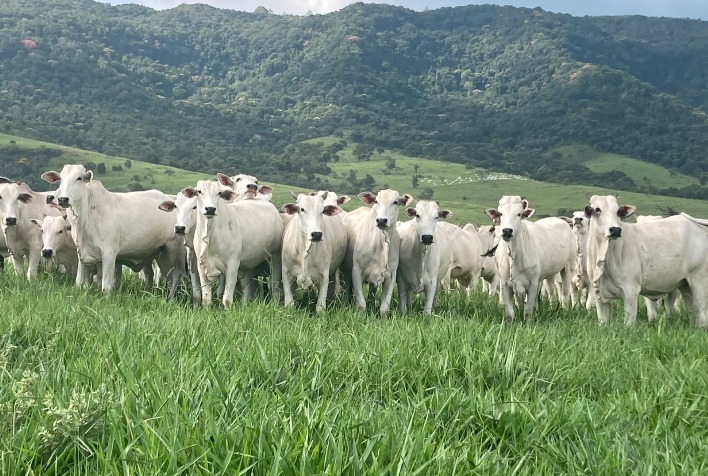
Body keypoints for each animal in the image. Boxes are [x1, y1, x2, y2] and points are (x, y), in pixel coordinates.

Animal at [40, 166, 185, 294]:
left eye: (79, 178)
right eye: (61, 179)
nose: (63, 199)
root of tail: (170, 199)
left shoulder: (109, 254)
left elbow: (106, 287)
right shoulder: (82, 254)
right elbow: (79, 283)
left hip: (171, 250)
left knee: (174, 276)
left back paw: (170, 297)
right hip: (156, 254)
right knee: (151, 275)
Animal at [181, 178, 284, 308]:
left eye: (219, 193)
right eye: (199, 191)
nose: (210, 209)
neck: (210, 236)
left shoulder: (232, 265)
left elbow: (227, 299)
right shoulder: (201, 267)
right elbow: (206, 299)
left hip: (276, 255)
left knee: (274, 284)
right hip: (248, 264)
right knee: (248, 287)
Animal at [584, 194, 708, 328]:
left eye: (618, 211)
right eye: (597, 209)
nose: (615, 230)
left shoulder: (631, 291)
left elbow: (629, 322)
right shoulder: (599, 295)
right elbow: (603, 321)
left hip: (699, 282)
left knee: (702, 314)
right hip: (686, 285)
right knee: (693, 311)